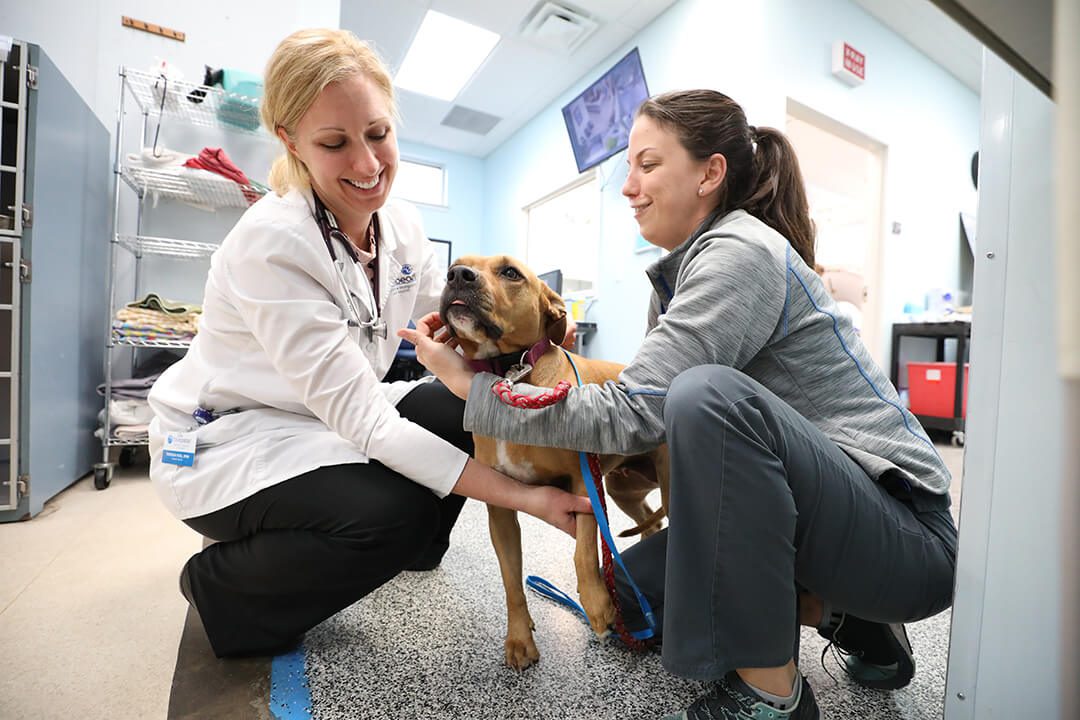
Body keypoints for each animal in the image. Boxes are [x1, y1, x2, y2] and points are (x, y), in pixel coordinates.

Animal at [438, 254, 665, 669]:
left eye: (510, 272)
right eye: (459, 265)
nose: (457, 275)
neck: (511, 375)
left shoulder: (583, 484)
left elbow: (584, 552)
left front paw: (597, 604)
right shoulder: (502, 511)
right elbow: (511, 581)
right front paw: (518, 638)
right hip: (622, 488)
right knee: (650, 521)